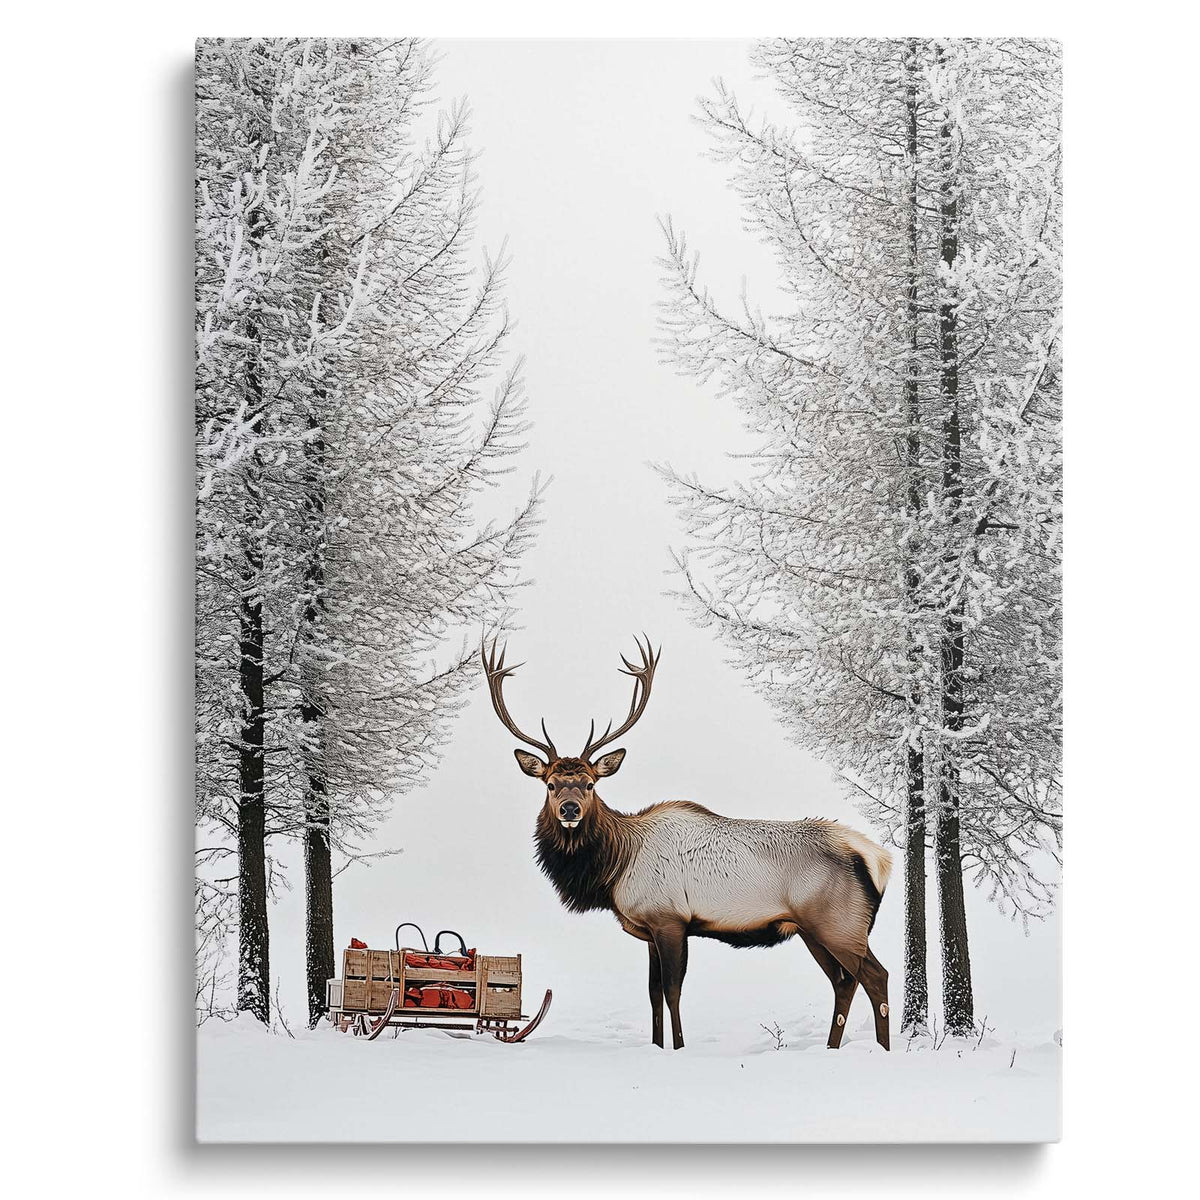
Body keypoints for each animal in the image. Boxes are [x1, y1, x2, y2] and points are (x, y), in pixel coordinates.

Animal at [481, 636, 894, 1051]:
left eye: (590, 784)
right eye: (550, 784)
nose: (569, 809)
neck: (614, 870)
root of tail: (878, 859)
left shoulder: (671, 920)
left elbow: (672, 991)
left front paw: (679, 1047)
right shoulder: (649, 929)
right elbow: (652, 994)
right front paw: (656, 1045)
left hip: (839, 923)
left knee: (876, 977)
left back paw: (881, 1048)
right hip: (814, 930)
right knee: (844, 983)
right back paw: (832, 1047)